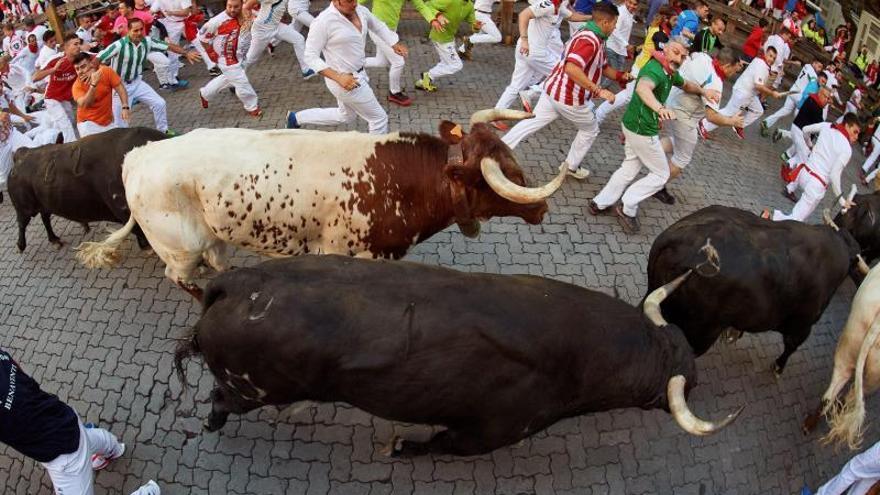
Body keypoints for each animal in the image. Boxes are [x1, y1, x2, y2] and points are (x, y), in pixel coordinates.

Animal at [7, 128, 165, 252]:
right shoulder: (126, 213)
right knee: (22, 223)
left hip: (45, 204)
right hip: (24, 208)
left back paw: (55, 239)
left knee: (45, 218)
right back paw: (21, 245)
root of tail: (21, 154)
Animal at [81, 110, 564, 298]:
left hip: (214, 233)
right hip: (180, 246)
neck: (402, 181)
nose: (541, 210)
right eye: (510, 176)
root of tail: (139, 154)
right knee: (178, 275)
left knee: (216, 260)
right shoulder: (347, 253)